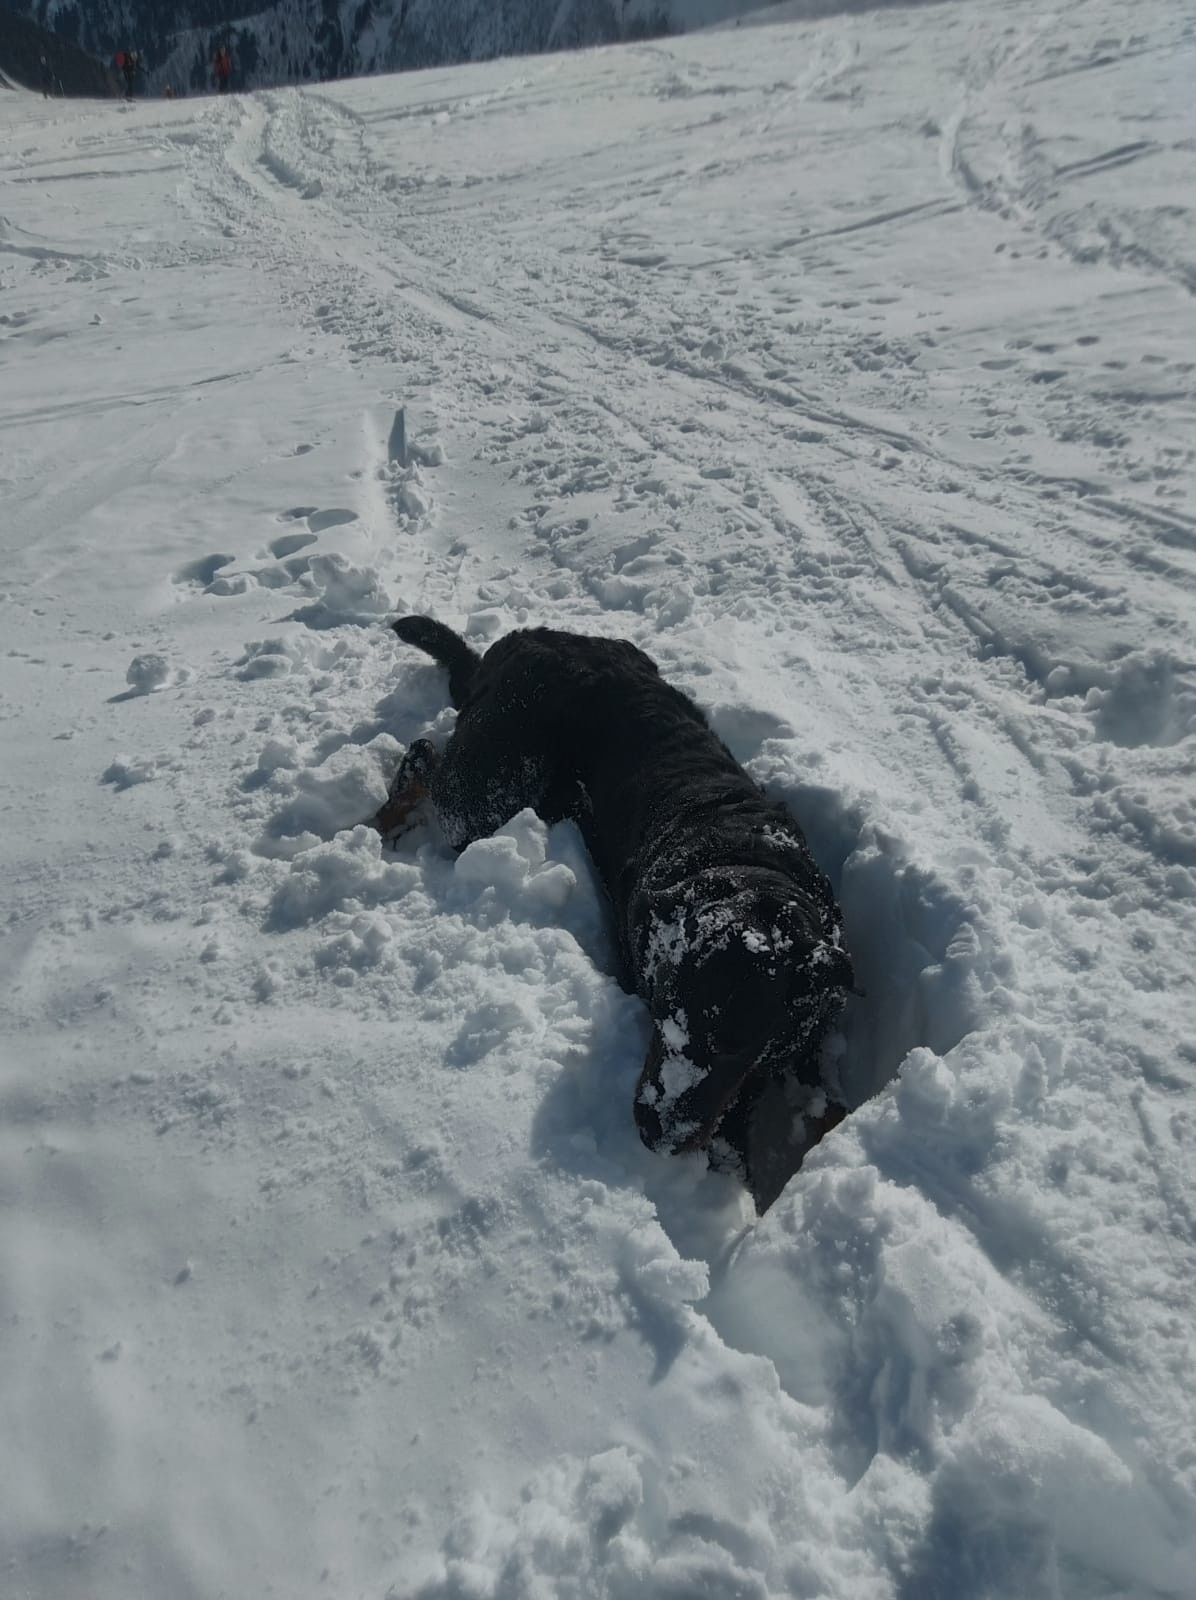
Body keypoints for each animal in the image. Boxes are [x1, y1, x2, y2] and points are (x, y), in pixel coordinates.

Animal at [374, 617, 850, 1203]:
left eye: (738, 1045)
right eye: (660, 1011)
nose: (651, 1130)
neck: (745, 861)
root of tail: (513, 642)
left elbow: (827, 1104)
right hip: (491, 788)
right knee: (425, 758)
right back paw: (378, 827)